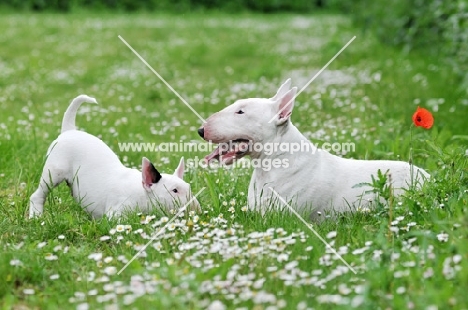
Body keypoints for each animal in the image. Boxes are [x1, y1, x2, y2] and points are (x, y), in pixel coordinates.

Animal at [29, 94, 199, 218]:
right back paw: (36, 216)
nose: (197, 208)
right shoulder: (116, 213)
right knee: (37, 195)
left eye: (189, 187)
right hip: (53, 172)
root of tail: (69, 130)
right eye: (174, 191)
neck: (142, 194)